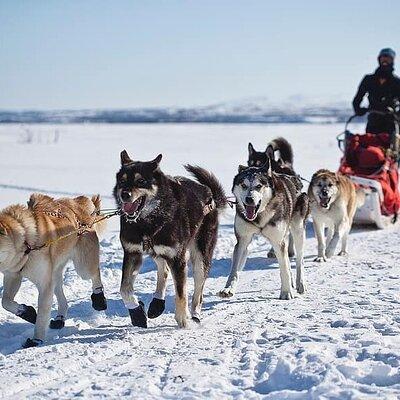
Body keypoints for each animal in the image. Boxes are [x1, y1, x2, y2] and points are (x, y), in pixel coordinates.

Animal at [0, 193, 107, 346]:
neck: (26, 242)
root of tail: (77, 203)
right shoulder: (13, 275)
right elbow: (5, 301)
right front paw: (27, 312)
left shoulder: (44, 284)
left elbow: (42, 315)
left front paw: (36, 339)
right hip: (55, 274)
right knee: (62, 298)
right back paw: (59, 319)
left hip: (83, 267)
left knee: (94, 274)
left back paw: (99, 298)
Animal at [114, 150, 227, 328]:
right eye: (122, 181)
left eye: (141, 181)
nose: (124, 194)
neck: (147, 223)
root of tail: (210, 194)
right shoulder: (132, 253)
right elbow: (124, 288)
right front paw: (136, 312)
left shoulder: (177, 258)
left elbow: (181, 293)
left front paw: (182, 319)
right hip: (157, 251)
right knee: (164, 270)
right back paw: (157, 303)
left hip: (200, 257)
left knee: (198, 290)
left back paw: (195, 315)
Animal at [219, 152, 310, 298]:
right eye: (243, 185)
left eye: (258, 186)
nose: (249, 199)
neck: (260, 216)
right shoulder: (243, 241)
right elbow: (234, 270)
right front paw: (228, 289)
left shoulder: (278, 241)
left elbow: (284, 267)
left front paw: (286, 292)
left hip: (298, 231)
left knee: (299, 260)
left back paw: (300, 283)